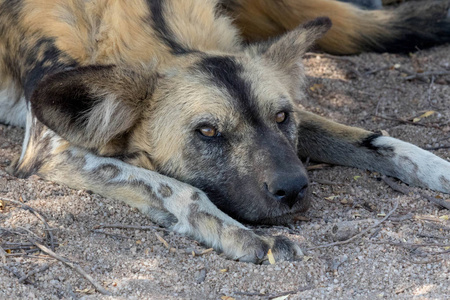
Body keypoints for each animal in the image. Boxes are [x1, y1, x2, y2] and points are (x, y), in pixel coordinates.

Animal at [0, 0, 450, 262]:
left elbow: (379, 141)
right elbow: (182, 191)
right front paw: (245, 238)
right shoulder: (54, 153)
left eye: (282, 118)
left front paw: (440, 170)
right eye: (208, 132)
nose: (293, 190)